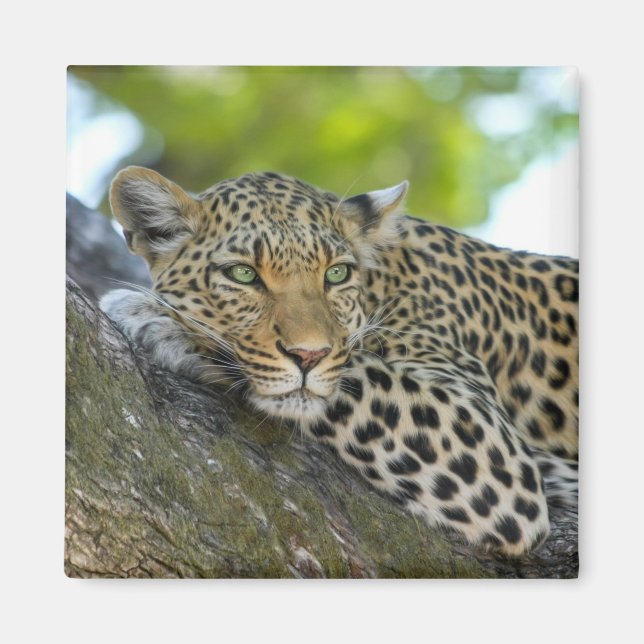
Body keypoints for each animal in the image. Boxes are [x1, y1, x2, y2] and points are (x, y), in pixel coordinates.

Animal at [100, 166, 579, 557]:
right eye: (243, 274)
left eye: (336, 274)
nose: (308, 355)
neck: (385, 282)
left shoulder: (493, 447)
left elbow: (352, 372)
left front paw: (158, 319)